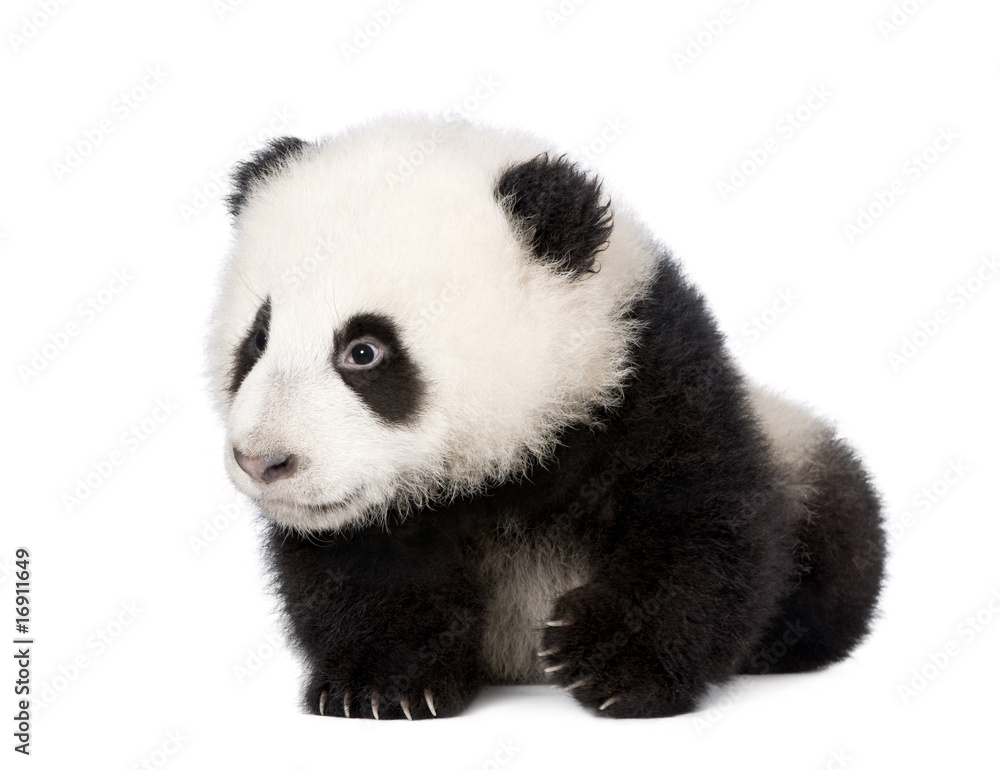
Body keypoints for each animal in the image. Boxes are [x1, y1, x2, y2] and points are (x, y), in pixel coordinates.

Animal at [208, 114, 885, 720]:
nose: (263, 461)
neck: (508, 465)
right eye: (258, 339)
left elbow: (703, 521)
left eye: (364, 351)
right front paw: (381, 685)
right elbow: (361, 567)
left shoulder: (646, 379)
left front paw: (613, 665)